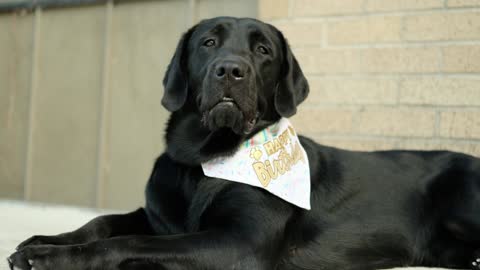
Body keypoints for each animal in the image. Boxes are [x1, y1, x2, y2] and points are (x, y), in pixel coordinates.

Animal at [7, 16, 480, 270]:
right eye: (208, 43)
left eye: (264, 50)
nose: (230, 70)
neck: (201, 160)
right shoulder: (156, 214)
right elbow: (103, 222)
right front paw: (43, 242)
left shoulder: (240, 241)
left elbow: (131, 242)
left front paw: (53, 258)